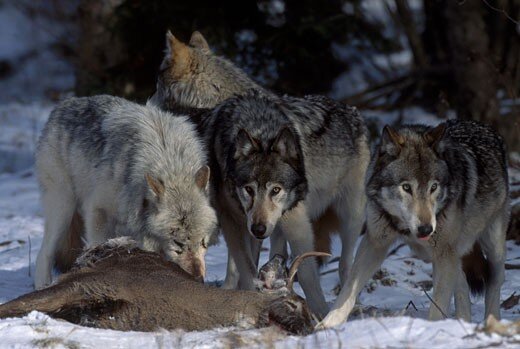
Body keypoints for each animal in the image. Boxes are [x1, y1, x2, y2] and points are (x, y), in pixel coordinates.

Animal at [34, 95, 217, 288]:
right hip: (63, 209)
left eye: (203, 242)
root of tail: (65, 104)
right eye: (178, 244)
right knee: (44, 253)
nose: (199, 279)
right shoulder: (99, 213)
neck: (170, 163)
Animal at [318, 119, 510, 326]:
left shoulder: (444, 254)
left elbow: (438, 305)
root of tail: (484, 126)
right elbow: (348, 290)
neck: (405, 229)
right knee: (463, 286)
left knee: (494, 284)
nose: (426, 229)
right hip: (448, 255)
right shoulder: (375, 243)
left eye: (433, 187)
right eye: (406, 187)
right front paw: (327, 325)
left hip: (491, 250)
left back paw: (491, 322)